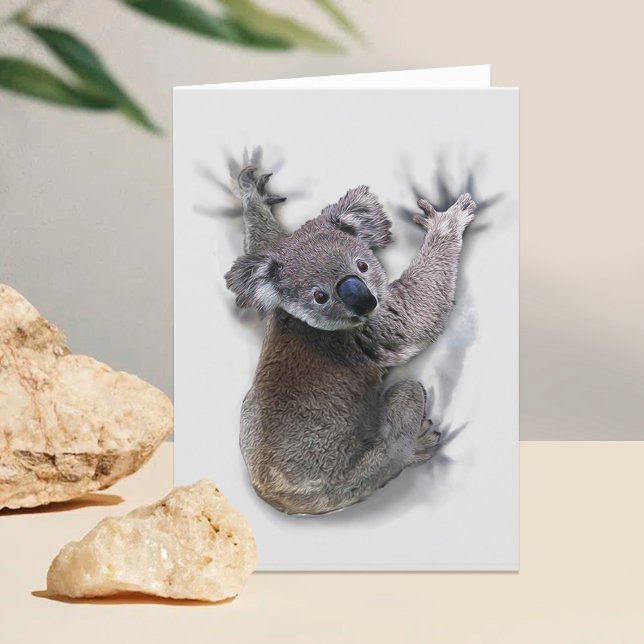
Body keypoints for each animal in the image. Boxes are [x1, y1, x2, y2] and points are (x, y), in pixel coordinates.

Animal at [224, 163, 476, 515]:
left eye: (363, 265)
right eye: (319, 296)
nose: (364, 300)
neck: (303, 323)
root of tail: (275, 496)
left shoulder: (274, 285)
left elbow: (265, 239)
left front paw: (251, 191)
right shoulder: (374, 330)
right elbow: (418, 313)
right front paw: (447, 222)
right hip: (352, 474)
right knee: (400, 416)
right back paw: (417, 445)